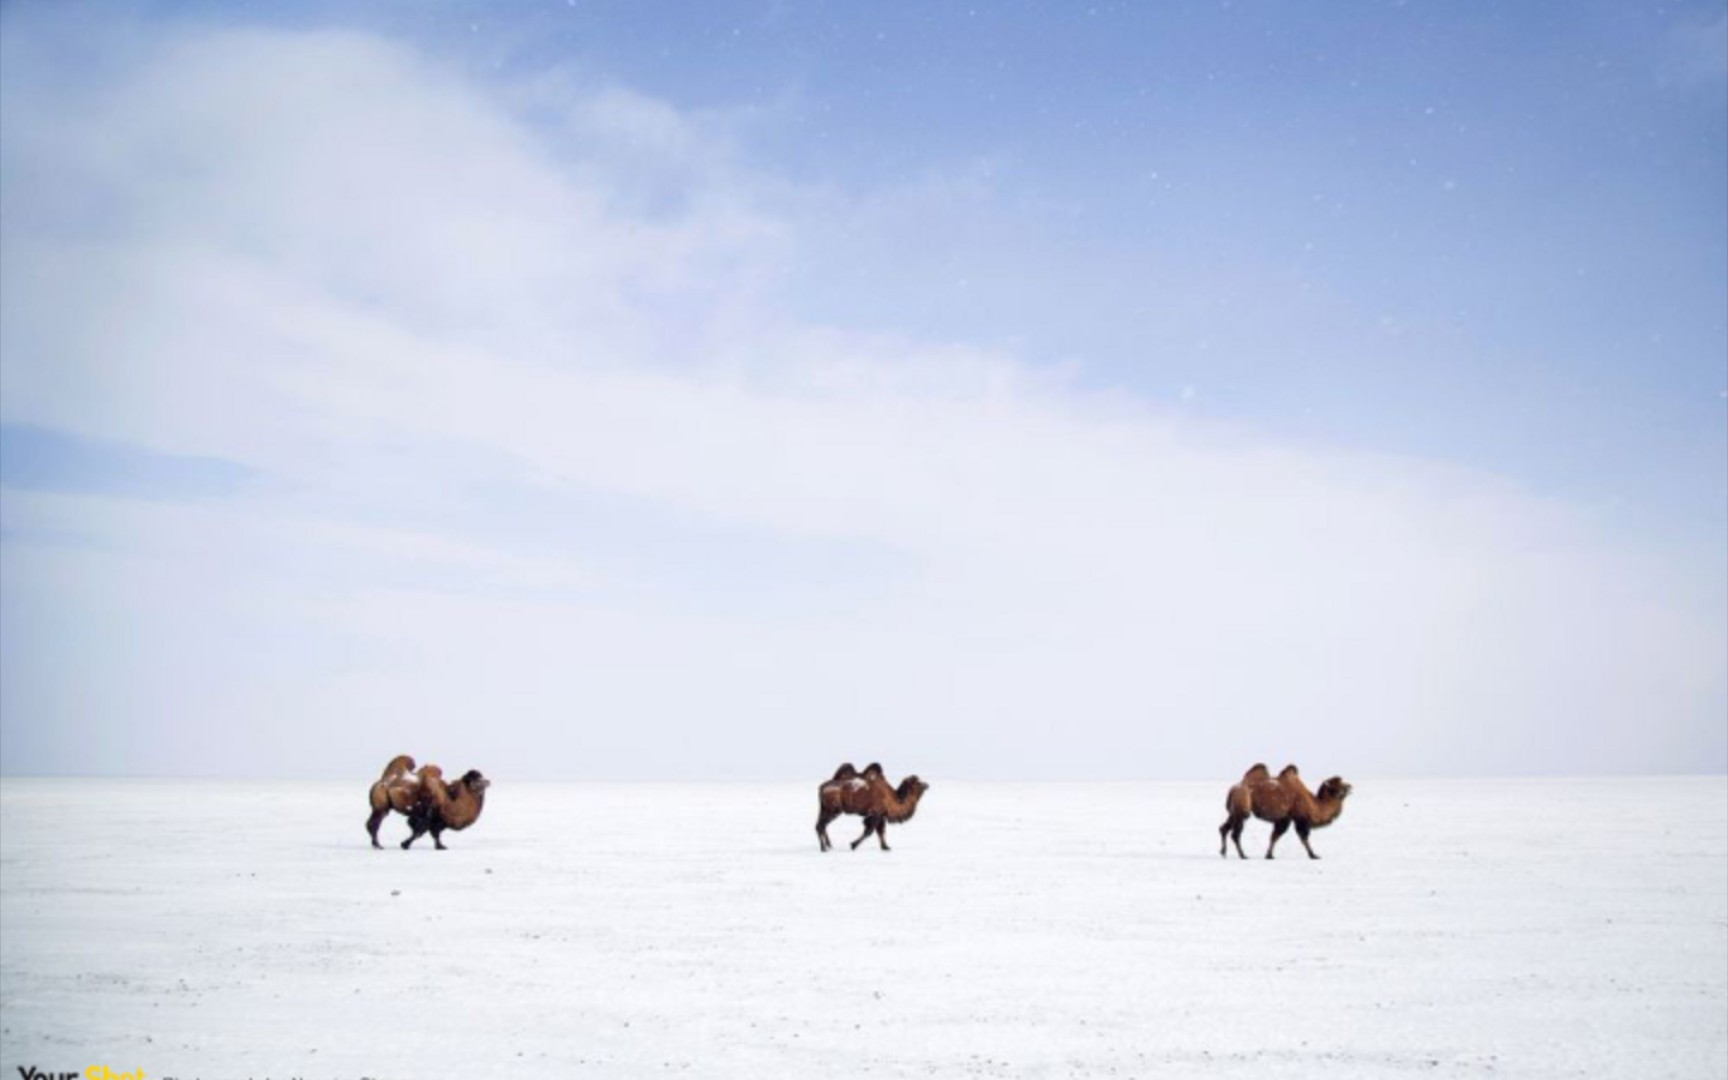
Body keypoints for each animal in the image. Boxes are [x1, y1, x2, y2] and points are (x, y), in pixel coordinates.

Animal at [366, 753, 494, 846]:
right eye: (477, 780)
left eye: (481, 777)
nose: (488, 781)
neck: (450, 803)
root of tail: (383, 781)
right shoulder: (426, 814)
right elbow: (419, 830)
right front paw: (405, 844)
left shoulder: (438, 821)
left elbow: (434, 834)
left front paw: (441, 847)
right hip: (381, 806)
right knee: (374, 824)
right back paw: (378, 845)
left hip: (382, 806)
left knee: (372, 823)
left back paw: (376, 844)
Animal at [1223, 763, 1354, 864]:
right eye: (1338, 786)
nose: (1350, 786)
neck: (1312, 803)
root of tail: (1233, 789)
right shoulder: (1300, 818)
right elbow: (1303, 838)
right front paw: (1313, 855)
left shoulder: (1285, 818)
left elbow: (1275, 836)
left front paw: (1269, 855)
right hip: (1242, 809)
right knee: (1235, 834)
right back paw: (1243, 855)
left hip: (1234, 811)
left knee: (1223, 828)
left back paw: (1223, 852)